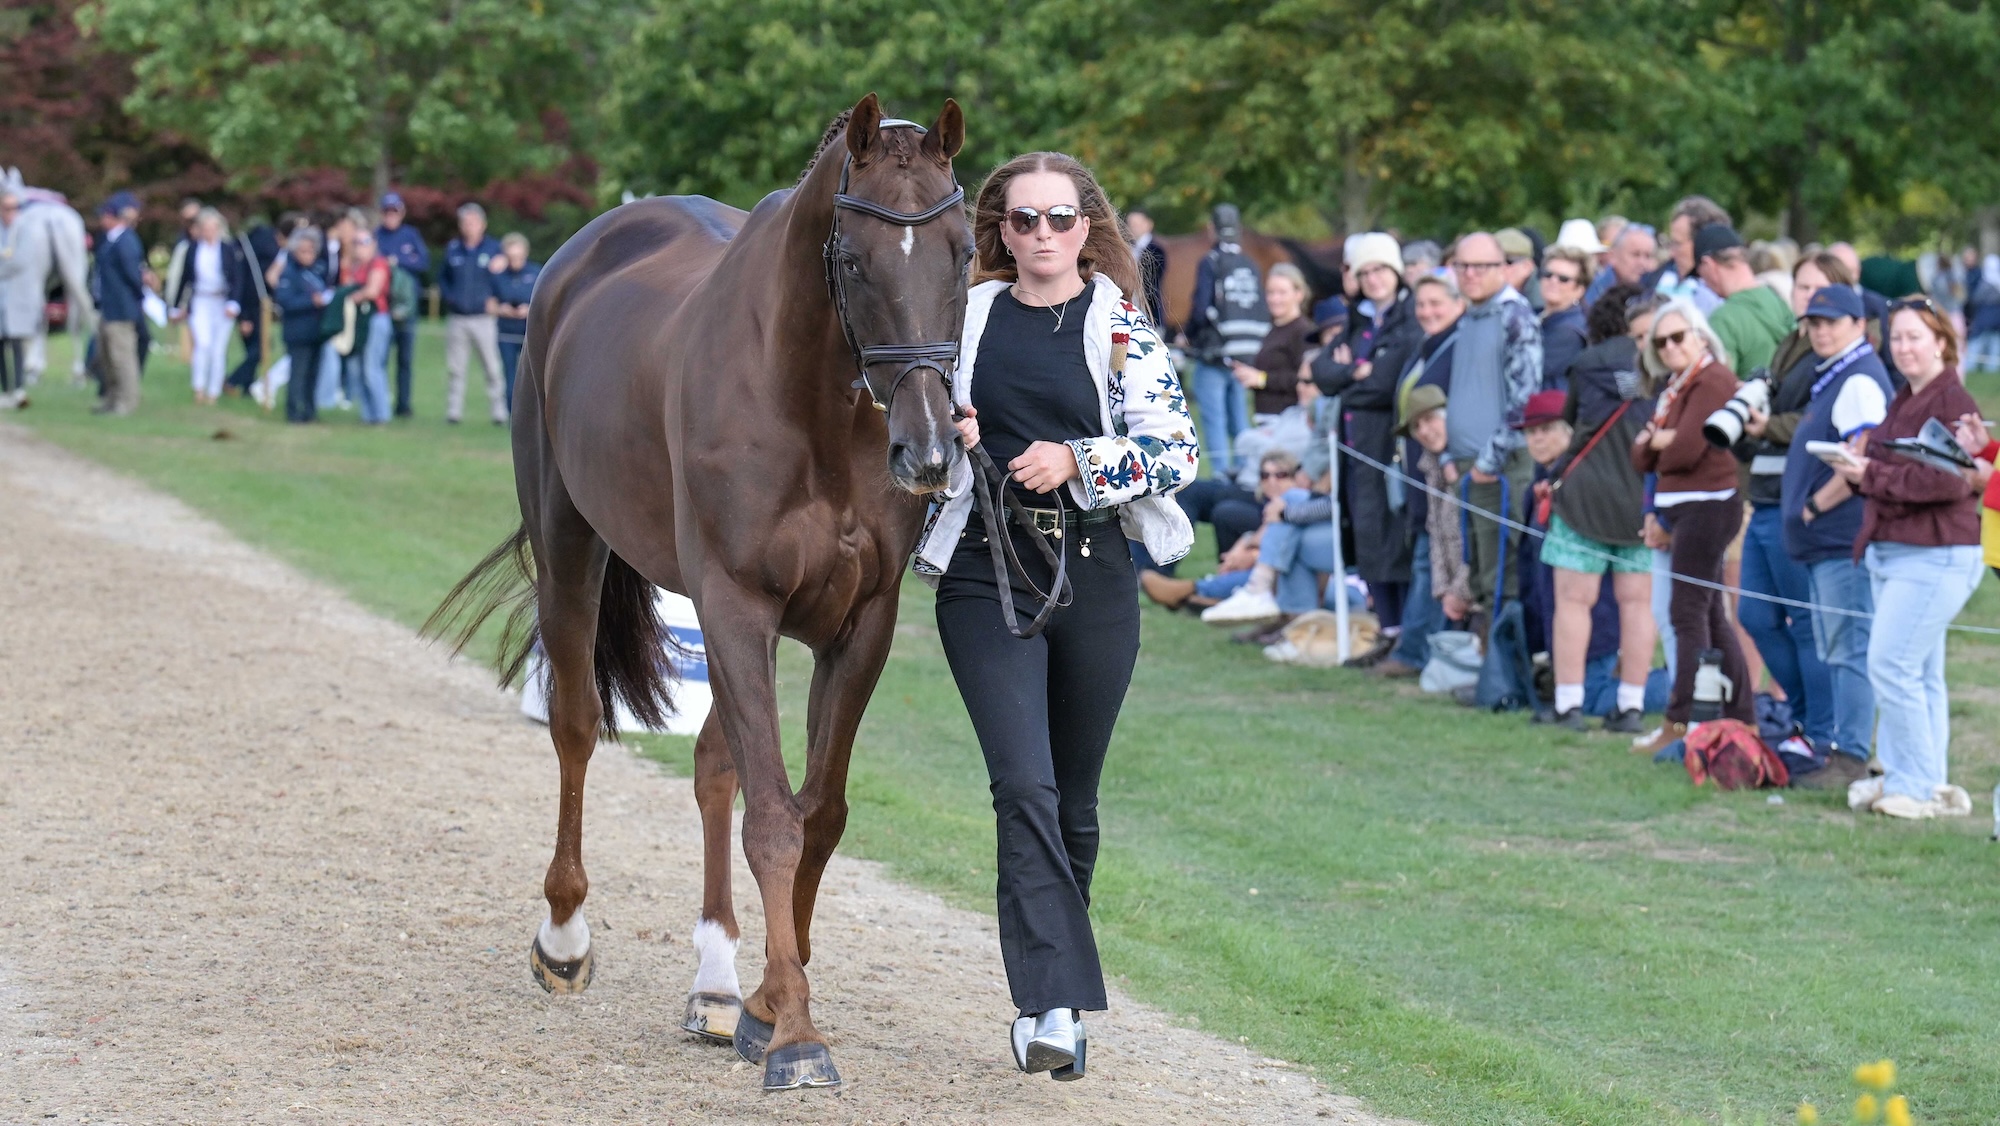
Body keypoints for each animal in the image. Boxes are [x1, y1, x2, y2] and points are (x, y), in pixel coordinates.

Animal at [428, 94, 971, 1092]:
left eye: (960, 250)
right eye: (853, 258)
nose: (927, 449)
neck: (814, 409)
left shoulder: (857, 627)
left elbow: (816, 814)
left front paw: (762, 1004)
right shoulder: (736, 605)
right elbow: (775, 822)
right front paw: (794, 1032)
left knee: (715, 764)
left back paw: (717, 982)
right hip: (573, 550)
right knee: (576, 727)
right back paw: (564, 938)